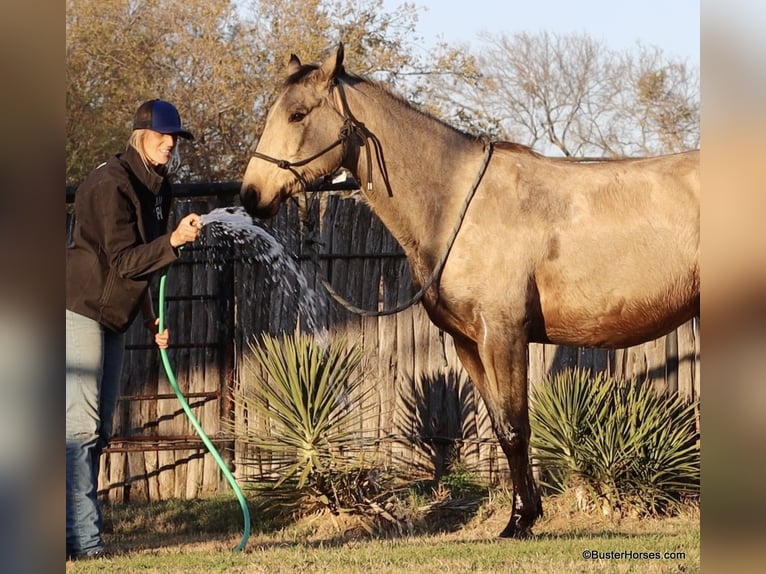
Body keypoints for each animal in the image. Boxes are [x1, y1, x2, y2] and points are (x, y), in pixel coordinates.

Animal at [240, 43, 700, 538]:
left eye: (298, 114)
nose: (251, 195)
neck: (457, 203)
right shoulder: (467, 343)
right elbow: (500, 426)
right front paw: (524, 513)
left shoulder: (504, 335)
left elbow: (516, 428)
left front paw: (519, 521)